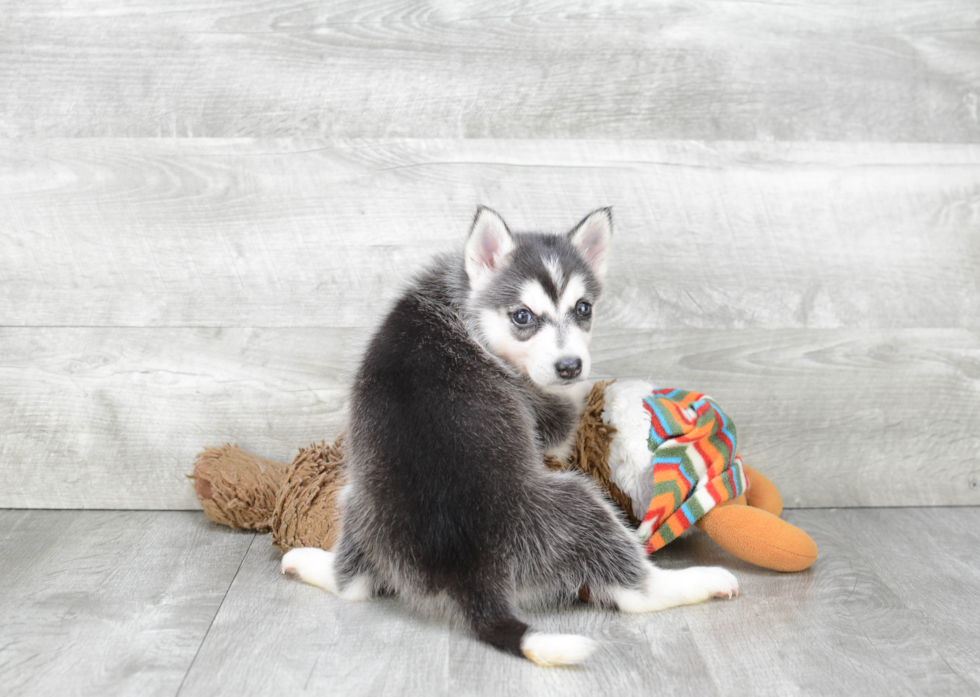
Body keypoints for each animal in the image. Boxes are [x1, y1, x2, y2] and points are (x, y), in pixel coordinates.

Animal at [282, 209, 736, 668]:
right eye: (522, 316)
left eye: (583, 308)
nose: (570, 365)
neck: (463, 301)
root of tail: (465, 572)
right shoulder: (540, 410)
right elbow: (569, 408)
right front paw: (608, 392)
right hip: (579, 504)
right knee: (636, 593)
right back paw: (699, 580)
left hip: (356, 504)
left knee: (352, 586)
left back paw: (307, 562)